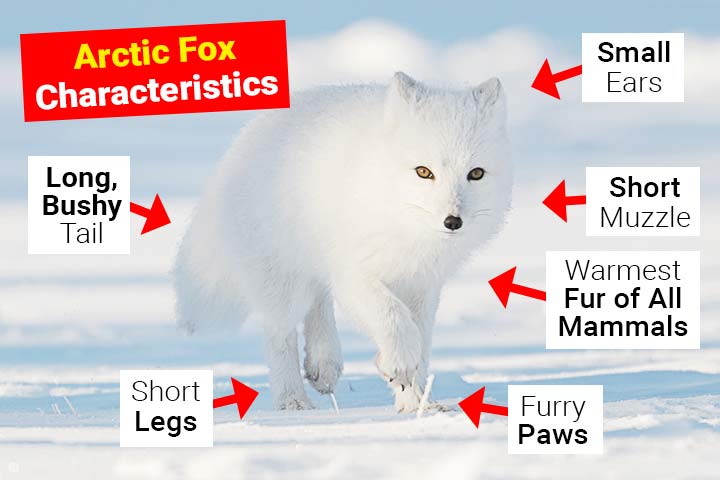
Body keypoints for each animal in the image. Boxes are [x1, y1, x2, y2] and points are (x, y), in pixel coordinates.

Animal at [174, 72, 513, 412]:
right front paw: (398, 366)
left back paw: (323, 366)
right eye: (423, 171)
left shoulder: (422, 285)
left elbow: (421, 340)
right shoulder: (353, 274)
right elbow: (394, 318)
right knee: (280, 332)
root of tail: (245, 138)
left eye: (476, 173)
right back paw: (293, 401)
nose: (452, 222)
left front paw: (416, 404)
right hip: (282, 278)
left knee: (317, 301)